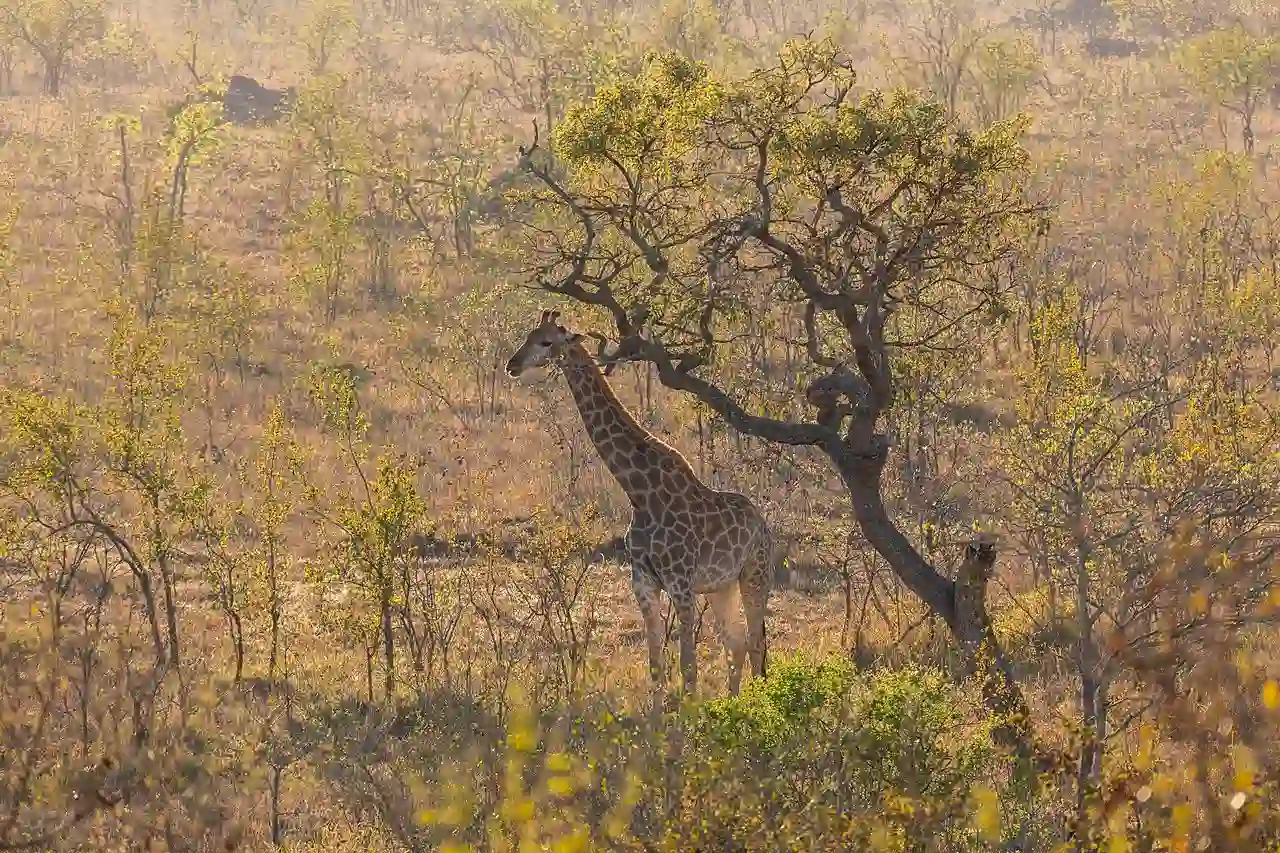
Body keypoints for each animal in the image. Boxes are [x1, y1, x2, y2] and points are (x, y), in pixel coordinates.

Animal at [504, 308, 773, 696]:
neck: (640, 493)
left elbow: (688, 668)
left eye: (546, 341)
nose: (512, 364)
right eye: (528, 335)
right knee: (735, 646)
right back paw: (733, 702)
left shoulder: (680, 583)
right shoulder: (644, 583)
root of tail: (763, 525)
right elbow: (656, 666)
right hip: (721, 587)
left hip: (755, 574)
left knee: (756, 644)